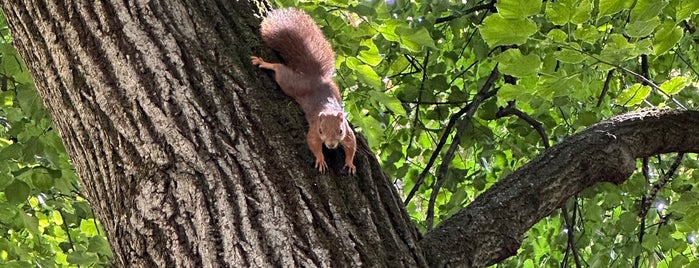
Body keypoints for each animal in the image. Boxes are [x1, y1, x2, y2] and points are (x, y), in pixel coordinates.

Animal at [252, 7, 358, 175]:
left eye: (340, 131)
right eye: (321, 130)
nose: (331, 145)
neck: (328, 110)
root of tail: (315, 77)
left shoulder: (347, 130)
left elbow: (351, 144)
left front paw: (349, 162)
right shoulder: (313, 128)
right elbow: (312, 142)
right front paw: (320, 158)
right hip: (291, 83)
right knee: (279, 69)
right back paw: (265, 63)